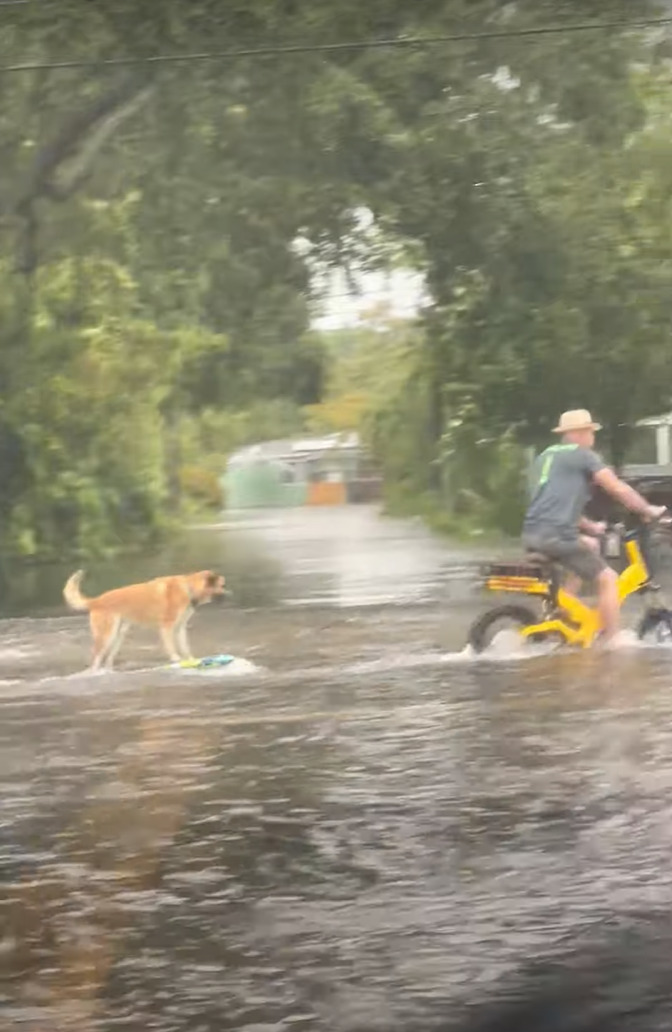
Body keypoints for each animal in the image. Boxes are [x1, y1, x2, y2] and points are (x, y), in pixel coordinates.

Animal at [64, 569, 226, 672]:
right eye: (222, 586)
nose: (229, 595)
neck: (188, 588)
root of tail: (96, 600)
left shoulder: (180, 628)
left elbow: (185, 647)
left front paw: (192, 660)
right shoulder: (166, 628)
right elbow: (172, 648)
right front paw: (177, 660)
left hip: (118, 636)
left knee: (108, 658)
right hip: (106, 636)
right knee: (96, 658)